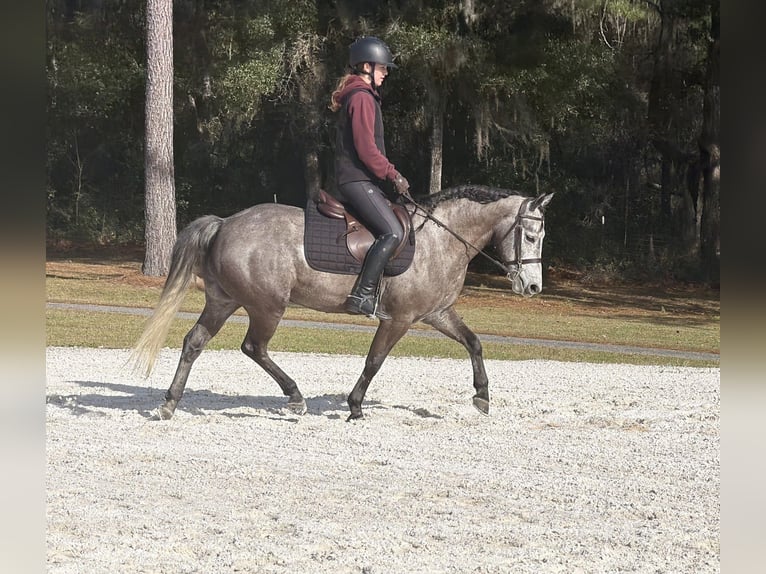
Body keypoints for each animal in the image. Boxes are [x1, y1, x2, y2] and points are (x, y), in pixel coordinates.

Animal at [131, 185, 554, 421]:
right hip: (267, 307)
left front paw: (482, 397)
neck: (440, 238)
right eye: (532, 236)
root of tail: (224, 224)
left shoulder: (436, 313)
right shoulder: (398, 319)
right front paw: (354, 406)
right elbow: (374, 361)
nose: (533, 287)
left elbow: (474, 342)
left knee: (194, 342)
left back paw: (170, 403)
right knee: (254, 347)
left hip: (224, 301)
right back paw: (295, 398)